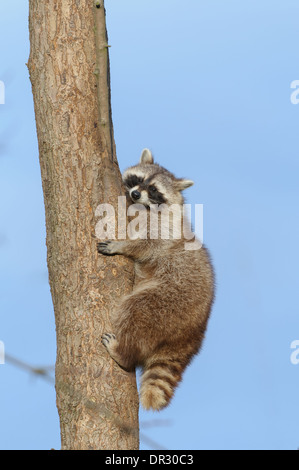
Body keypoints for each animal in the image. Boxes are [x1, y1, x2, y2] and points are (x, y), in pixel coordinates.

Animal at [98, 149, 216, 410]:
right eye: (137, 180)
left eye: (153, 189)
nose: (134, 193)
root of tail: (194, 332)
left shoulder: (165, 229)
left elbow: (147, 244)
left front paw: (123, 245)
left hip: (169, 301)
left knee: (136, 310)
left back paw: (123, 353)